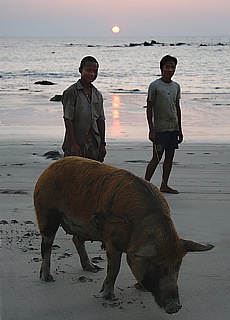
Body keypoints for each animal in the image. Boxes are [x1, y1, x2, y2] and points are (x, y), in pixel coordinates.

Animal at [33, 156, 214, 314]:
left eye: (178, 264)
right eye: (155, 264)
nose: (175, 306)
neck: (139, 225)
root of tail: (47, 170)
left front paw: (140, 288)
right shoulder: (111, 240)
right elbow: (114, 268)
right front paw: (109, 297)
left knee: (76, 239)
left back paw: (92, 268)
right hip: (46, 212)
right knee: (46, 245)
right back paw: (47, 278)